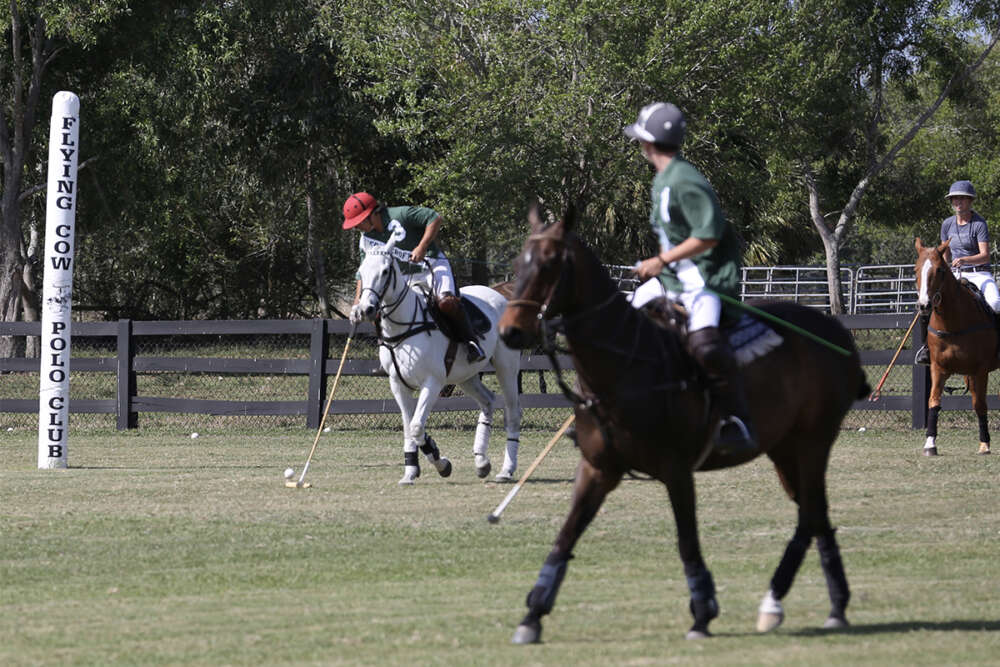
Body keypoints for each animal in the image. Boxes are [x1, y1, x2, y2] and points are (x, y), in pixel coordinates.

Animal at [356, 236, 524, 486]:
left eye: (385, 271)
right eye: (361, 271)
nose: (366, 309)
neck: (404, 326)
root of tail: (500, 295)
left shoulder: (432, 382)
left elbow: (416, 426)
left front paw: (441, 463)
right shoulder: (397, 384)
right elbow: (409, 427)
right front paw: (410, 472)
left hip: (507, 366)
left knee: (512, 412)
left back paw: (506, 470)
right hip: (465, 376)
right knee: (488, 401)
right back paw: (481, 461)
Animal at [498, 204, 868, 640]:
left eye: (550, 263)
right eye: (517, 263)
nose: (510, 331)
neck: (624, 366)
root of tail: (838, 334)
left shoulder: (677, 470)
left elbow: (687, 541)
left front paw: (703, 613)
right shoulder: (597, 468)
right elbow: (565, 536)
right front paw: (532, 616)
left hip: (814, 440)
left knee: (810, 514)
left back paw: (777, 602)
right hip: (785, 447)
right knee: (816, 514)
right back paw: (830, 605)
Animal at [916, 237, 1000, 456]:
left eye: (939, 270)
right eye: (915, 269)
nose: (924, 305)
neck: (953, 322)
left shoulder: (981, 370)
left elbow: (980, 405)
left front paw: (985, 444)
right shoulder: (938, 368)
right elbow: (933, 401)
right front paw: (930, 443)